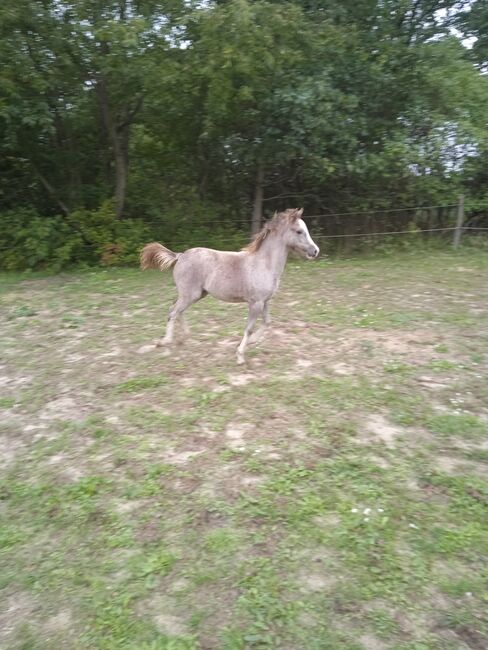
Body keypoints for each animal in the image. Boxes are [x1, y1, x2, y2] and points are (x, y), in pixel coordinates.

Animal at [140, 208, 320, 362]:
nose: (315, 251)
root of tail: (180, 255)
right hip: (189, 294)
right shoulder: (255, 303)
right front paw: (240, 355)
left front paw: (252, 342)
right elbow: (249, 328)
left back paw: (183, 338)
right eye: (299, 231)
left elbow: (267, 322)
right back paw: (165, 343)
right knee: (173, 312)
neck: (264, 264)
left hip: (196, 294)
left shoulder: (265, 301)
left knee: (178, 311)